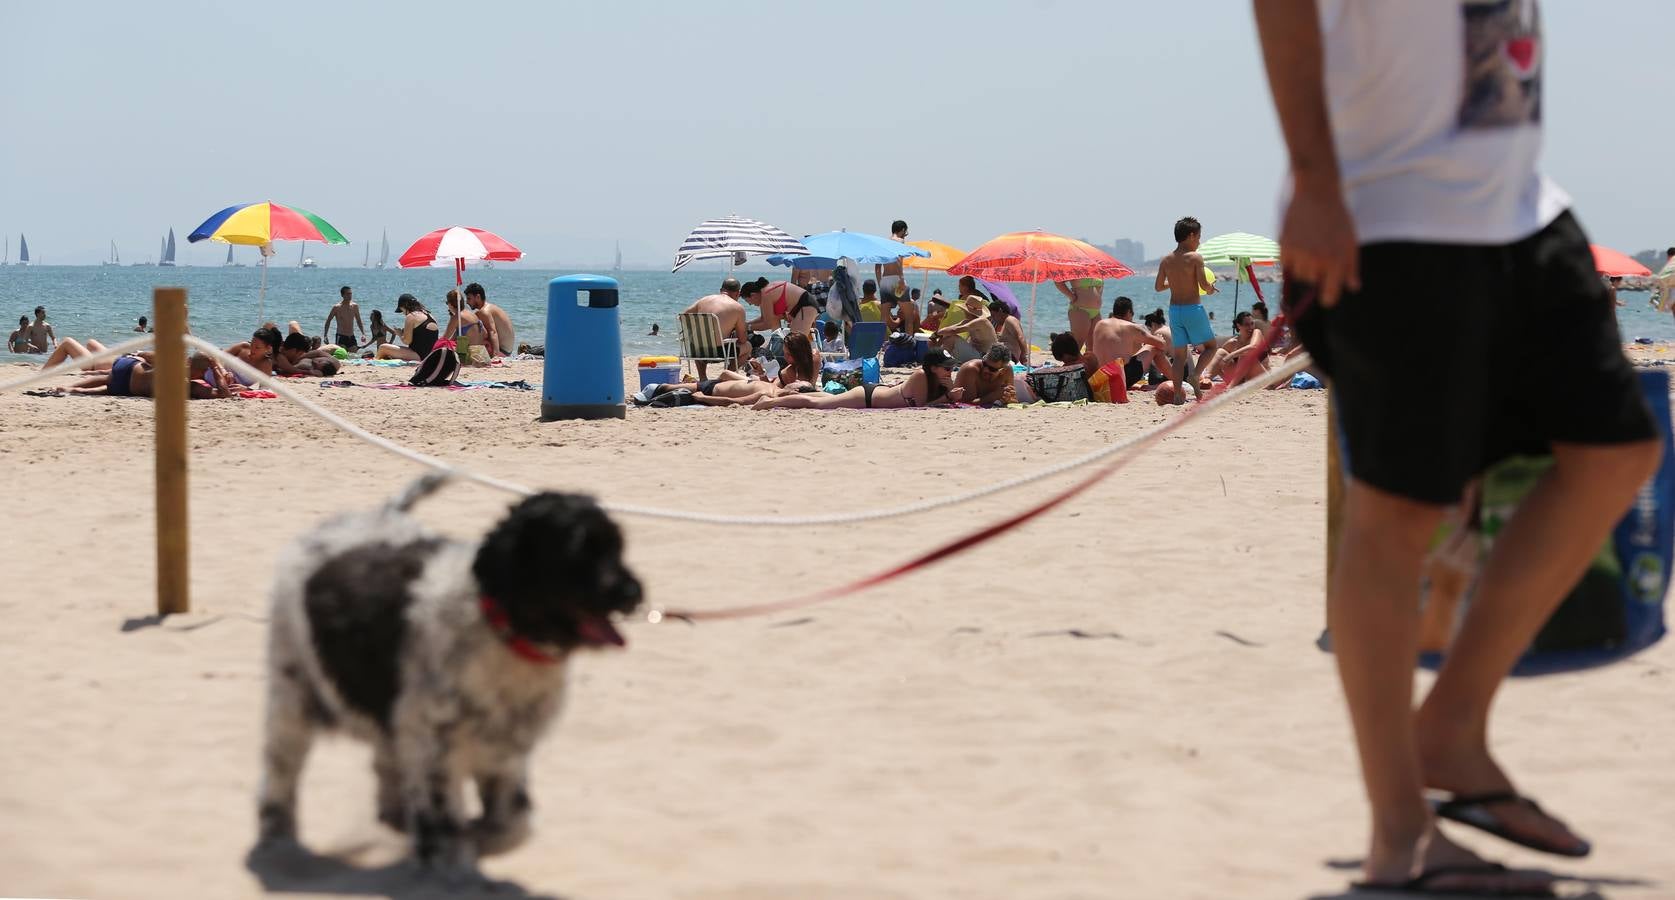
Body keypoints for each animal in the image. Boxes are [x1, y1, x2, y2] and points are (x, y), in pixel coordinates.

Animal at [257, 475, 643, 871]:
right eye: (577, 553)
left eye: (617, 547)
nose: (633, 593)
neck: (500, 633)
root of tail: (369, 516)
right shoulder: (434, 751)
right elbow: (448, 832)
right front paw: (451, 852)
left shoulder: (505, 751)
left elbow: (513, 825)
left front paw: (478, 837)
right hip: (292, 693)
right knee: (280, 772)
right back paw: (279, 839)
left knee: (384, 761)